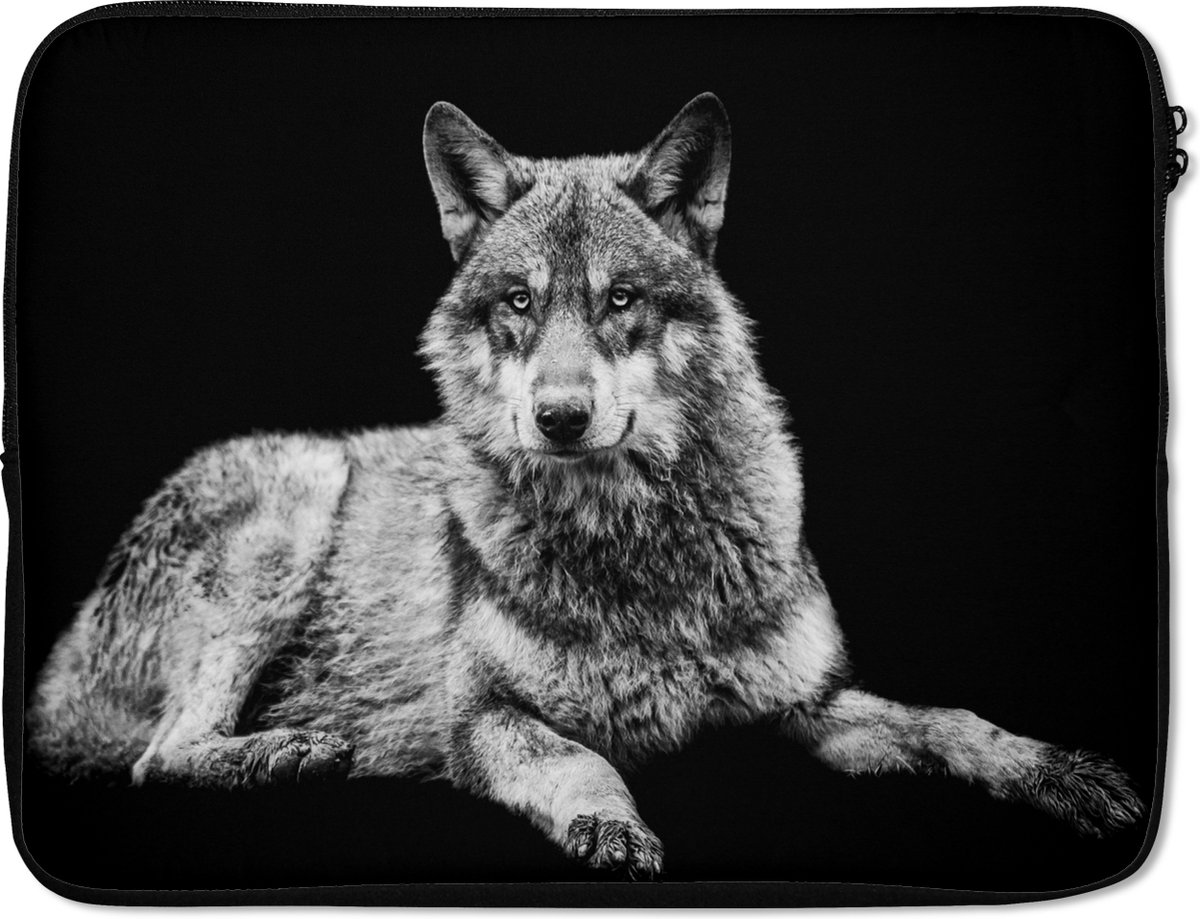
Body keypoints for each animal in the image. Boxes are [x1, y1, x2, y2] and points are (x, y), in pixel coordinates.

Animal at [27, 94, 1143, 878]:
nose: (559, 416)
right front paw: (610, 823)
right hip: (296, 500)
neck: (636, 547)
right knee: (156, 756)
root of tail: (56, 666)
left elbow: (956, 721)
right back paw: (287, 751)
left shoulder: (809, 705)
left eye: (621, 301)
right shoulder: (481, 719)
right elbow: (579, 759)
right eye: (520, 303)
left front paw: (1063, 772)